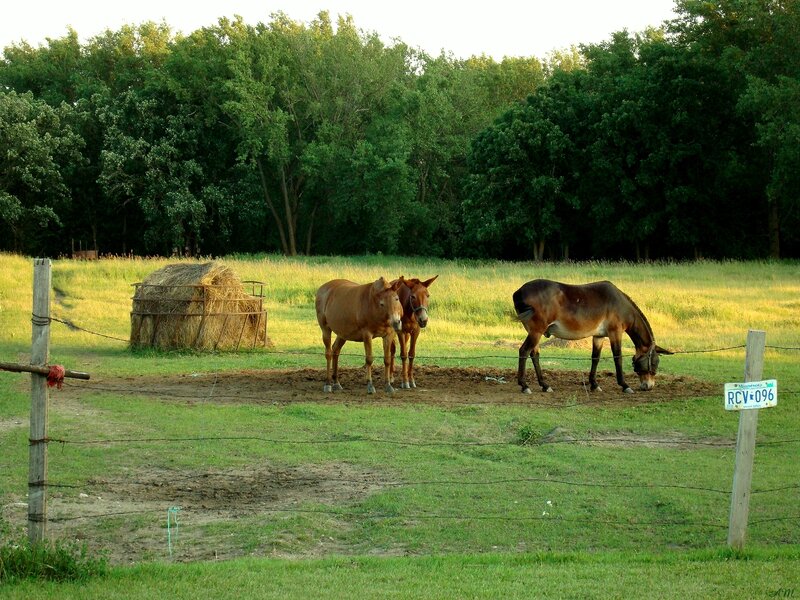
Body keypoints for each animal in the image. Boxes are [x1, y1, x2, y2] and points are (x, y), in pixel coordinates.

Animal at [512, 279, 672, 394]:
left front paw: (594, 385)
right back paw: (524, 385)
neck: (620, 304)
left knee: (534, 354)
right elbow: (618, 357)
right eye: (654, 363)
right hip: (536, 332)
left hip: (534, 332)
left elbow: (595, 358)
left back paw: (545, 385)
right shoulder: (615, 332)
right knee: (524, 351)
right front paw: (624, 385)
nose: (648, 386)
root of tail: (519, 292)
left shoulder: (598, 336)